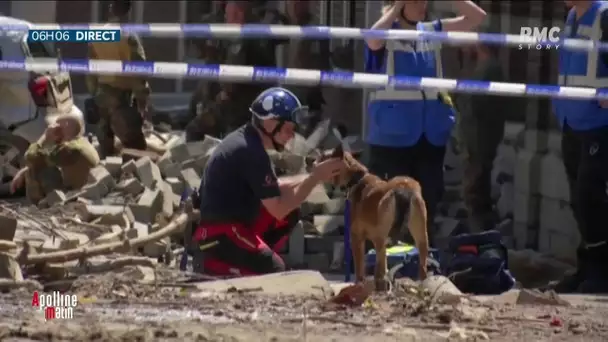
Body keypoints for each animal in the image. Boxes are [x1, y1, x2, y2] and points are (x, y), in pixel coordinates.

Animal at [328, 144, 432, 292]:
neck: (357, 178)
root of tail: (404, 189)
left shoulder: (356, 237)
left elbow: (360, 267)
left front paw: (359, 284)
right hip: (420, 234)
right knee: (422, 267)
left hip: (380, 237)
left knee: (380, 268)